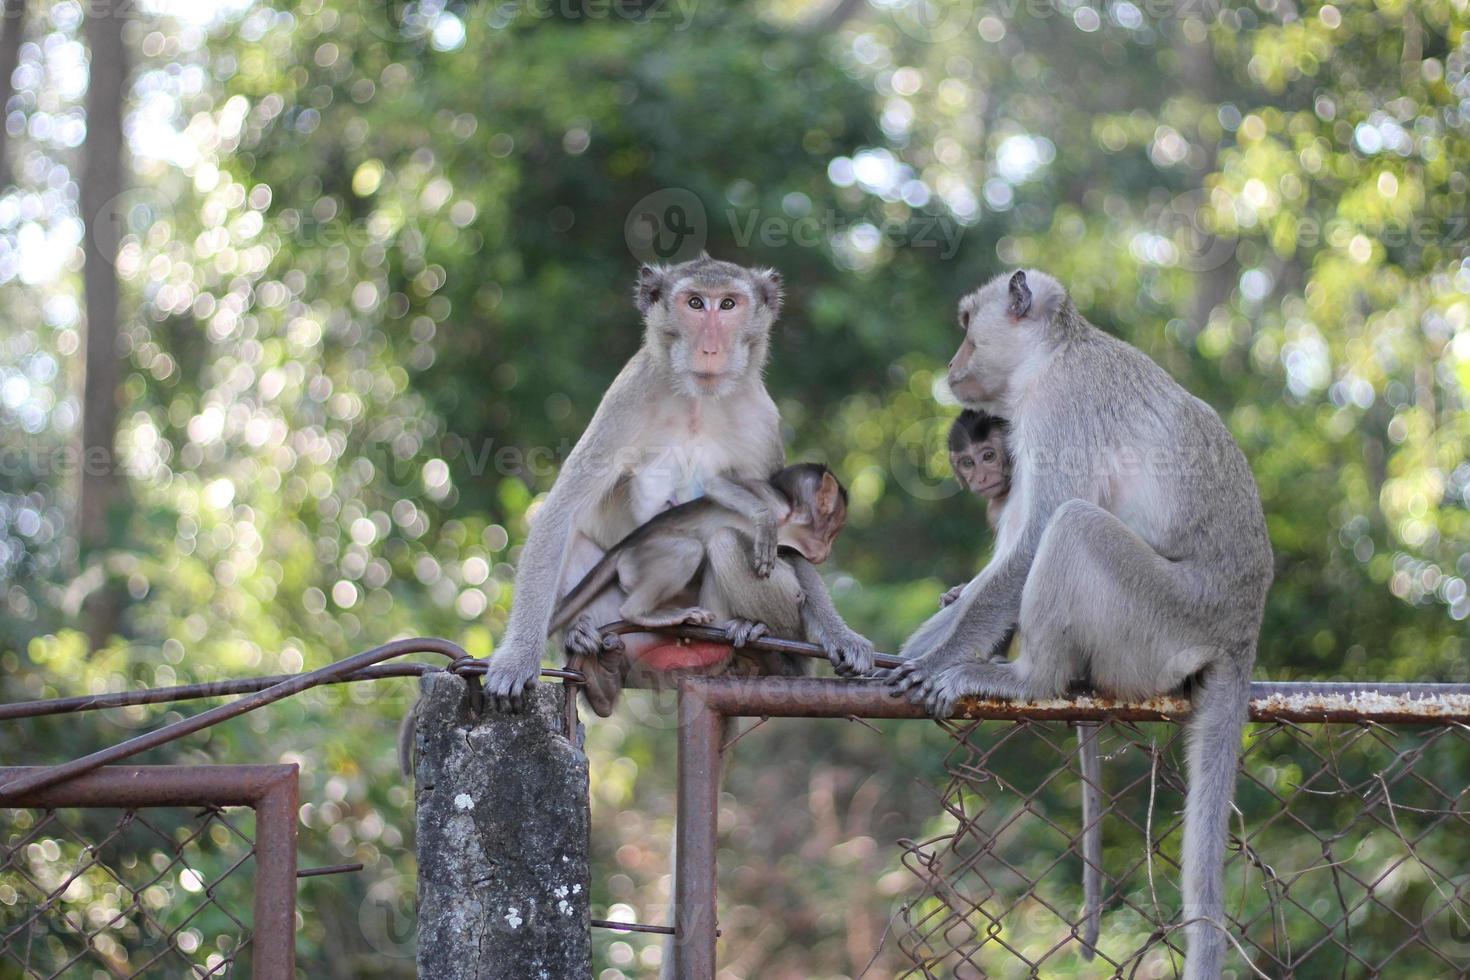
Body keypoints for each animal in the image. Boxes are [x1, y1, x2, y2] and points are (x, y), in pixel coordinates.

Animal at [552, 464, 852, 717]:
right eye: (834, 530)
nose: (827, 551)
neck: (790, 521)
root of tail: (625, 546)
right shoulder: (772, 501)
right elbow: (716, 482)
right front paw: (762, 519)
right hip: (638, 560)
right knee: (696, 547)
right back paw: (642, 615)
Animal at [882, 270, 1275, 980]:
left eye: (966, 324)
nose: (953, 363)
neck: (1054, 353)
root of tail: (1240, 632)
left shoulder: (1061, 408)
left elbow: (1042, 526)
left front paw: (938, 660)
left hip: (1161, 622)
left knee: (1074, 525)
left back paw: (1027, 679)